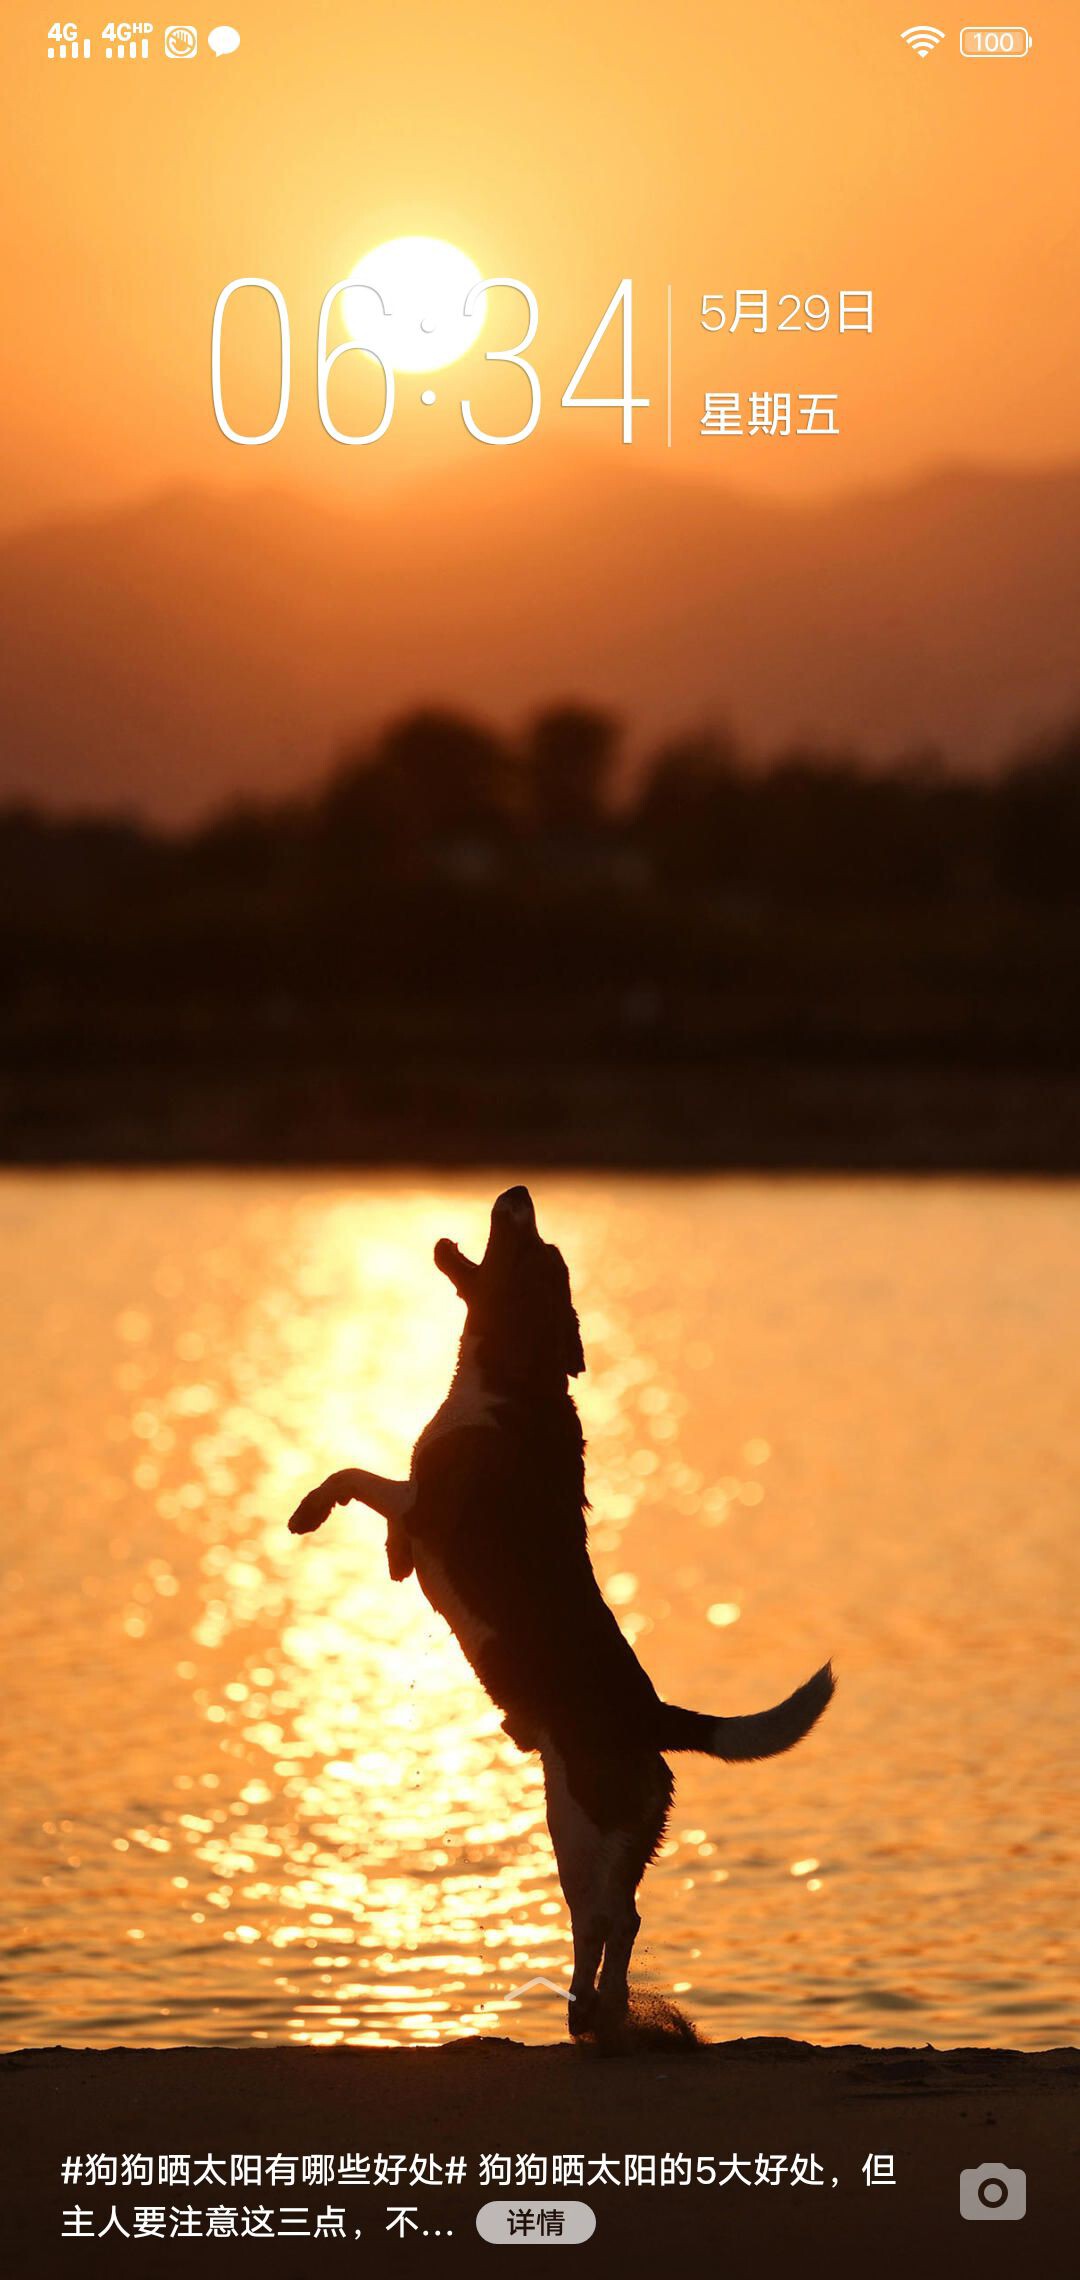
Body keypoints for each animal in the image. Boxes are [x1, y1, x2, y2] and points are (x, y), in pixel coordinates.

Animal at [289, 1185, 833, 2042]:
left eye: (540, 1254)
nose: (518, 1194)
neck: (521, 1380)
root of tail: (652, 1716)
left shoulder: (425, 1498)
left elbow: (356, 1474)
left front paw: (311, 1512)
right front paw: (390, 1557)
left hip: (577, 1824)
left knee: (609, 1916)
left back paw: (595, 2009)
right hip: (610, 1829)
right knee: (619, 1918)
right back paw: (593, 2007)